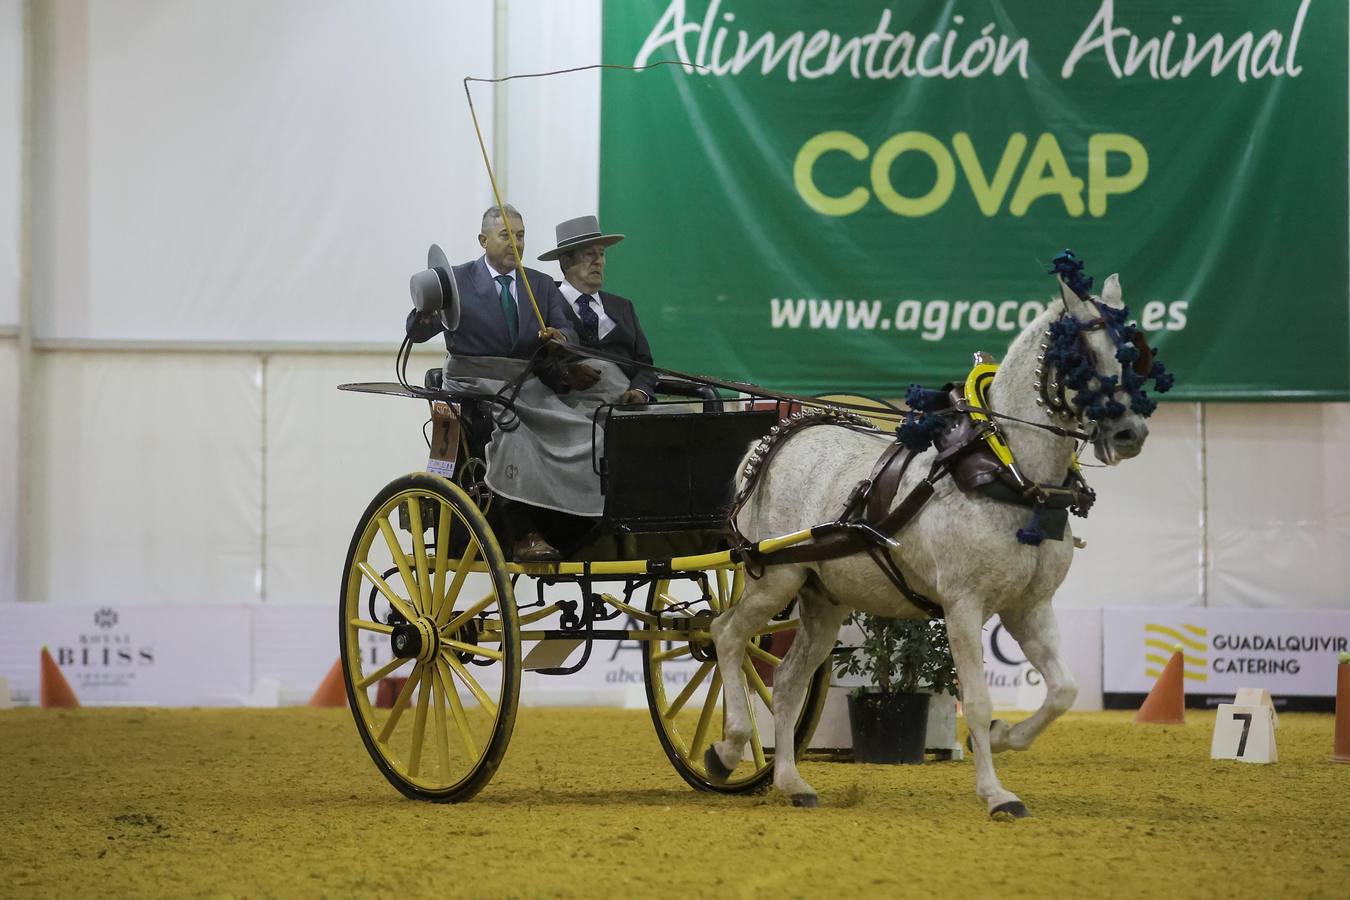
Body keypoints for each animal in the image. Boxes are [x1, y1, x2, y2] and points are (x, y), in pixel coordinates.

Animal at [707, 272, 1150, 814]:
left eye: (1131, 352)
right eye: (1082, 354)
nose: (1130, 432)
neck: (1009, 471)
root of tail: (778, 438)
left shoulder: (1029, 606)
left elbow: (1064, 690)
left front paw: (1004, 736)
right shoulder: (964, 605)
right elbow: (976, 701)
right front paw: (996, 794)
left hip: (823, 597)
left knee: (789, 682)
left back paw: (792, 781)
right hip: (775, 577)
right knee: (727, 635)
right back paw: (727, 748)